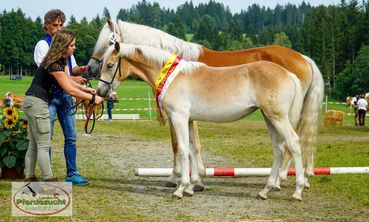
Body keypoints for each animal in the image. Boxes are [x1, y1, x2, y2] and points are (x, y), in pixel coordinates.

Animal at [87, 19, 324, 189]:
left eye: (107, 43)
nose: (90, 70)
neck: (174, 67)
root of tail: (302, 59)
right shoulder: (189, 117)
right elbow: (191, 146)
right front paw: (195, 181)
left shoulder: (179, 116)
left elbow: (179, 145)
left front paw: (179, 179)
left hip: (282, 115)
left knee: (292, 142)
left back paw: (284, 180)